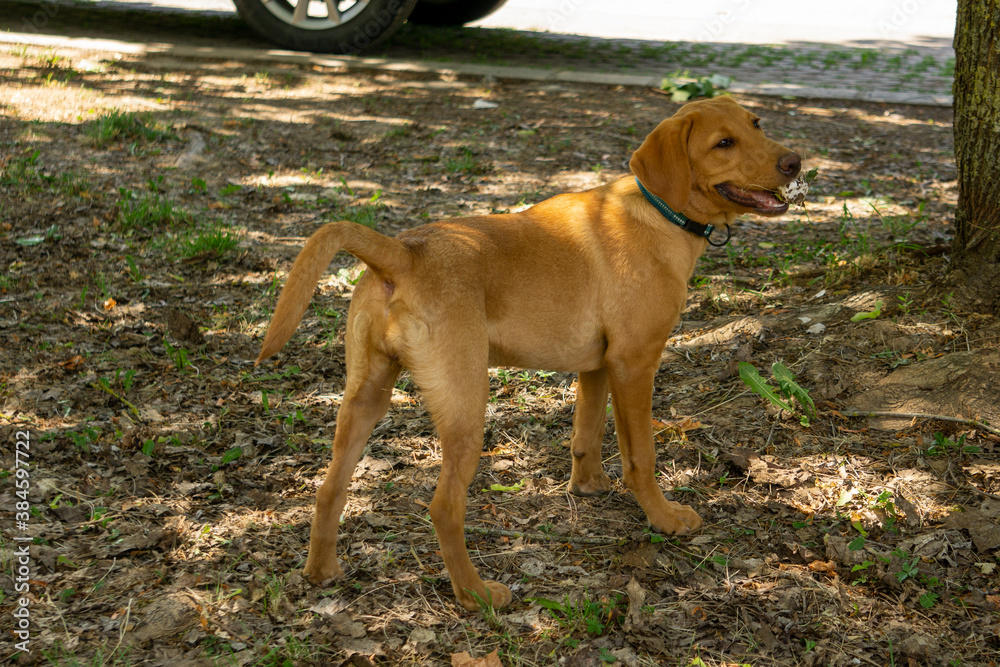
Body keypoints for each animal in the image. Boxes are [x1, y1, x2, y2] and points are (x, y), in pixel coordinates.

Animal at [260, 96, 804, 612]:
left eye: (756, 124)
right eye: (723, 144)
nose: (795, 162)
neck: (658, 212)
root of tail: (404, 251)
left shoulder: (597, 366)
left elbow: (586, 433)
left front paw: (588, 486)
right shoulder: (634, 364)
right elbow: (641, 456)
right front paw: (664, 517)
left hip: (365, 395)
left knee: (329, 487)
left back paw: (321, 571)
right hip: (465, 403)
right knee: (444, 506)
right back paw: (475, 595)